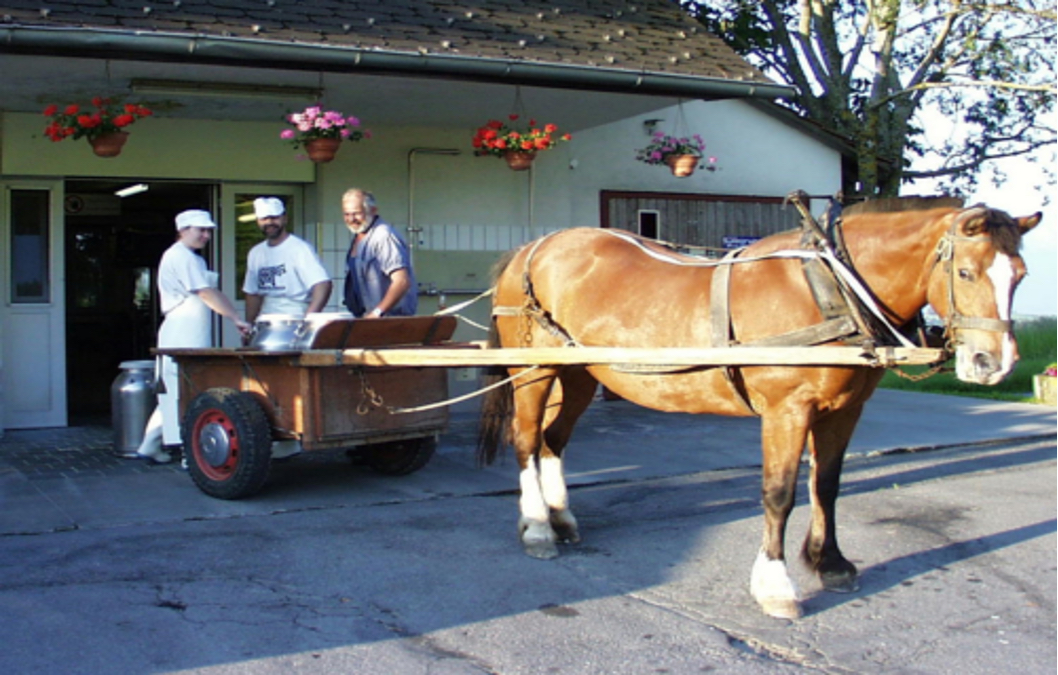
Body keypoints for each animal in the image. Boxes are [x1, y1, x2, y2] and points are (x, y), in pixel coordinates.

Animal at [480, 201, 1041, 617]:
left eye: (1020, 274)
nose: (994, 364)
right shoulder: (787, 410)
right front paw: (776, 585)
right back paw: (537, 527)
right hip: (534, 371)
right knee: (526, 440)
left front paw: (829, 563)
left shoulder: (844, 411)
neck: (829, 289)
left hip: (578, 374)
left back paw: (562, 518)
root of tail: (534, 248)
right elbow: (779, 494)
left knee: (552, 441)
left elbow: (826, 486)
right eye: (965, 271)